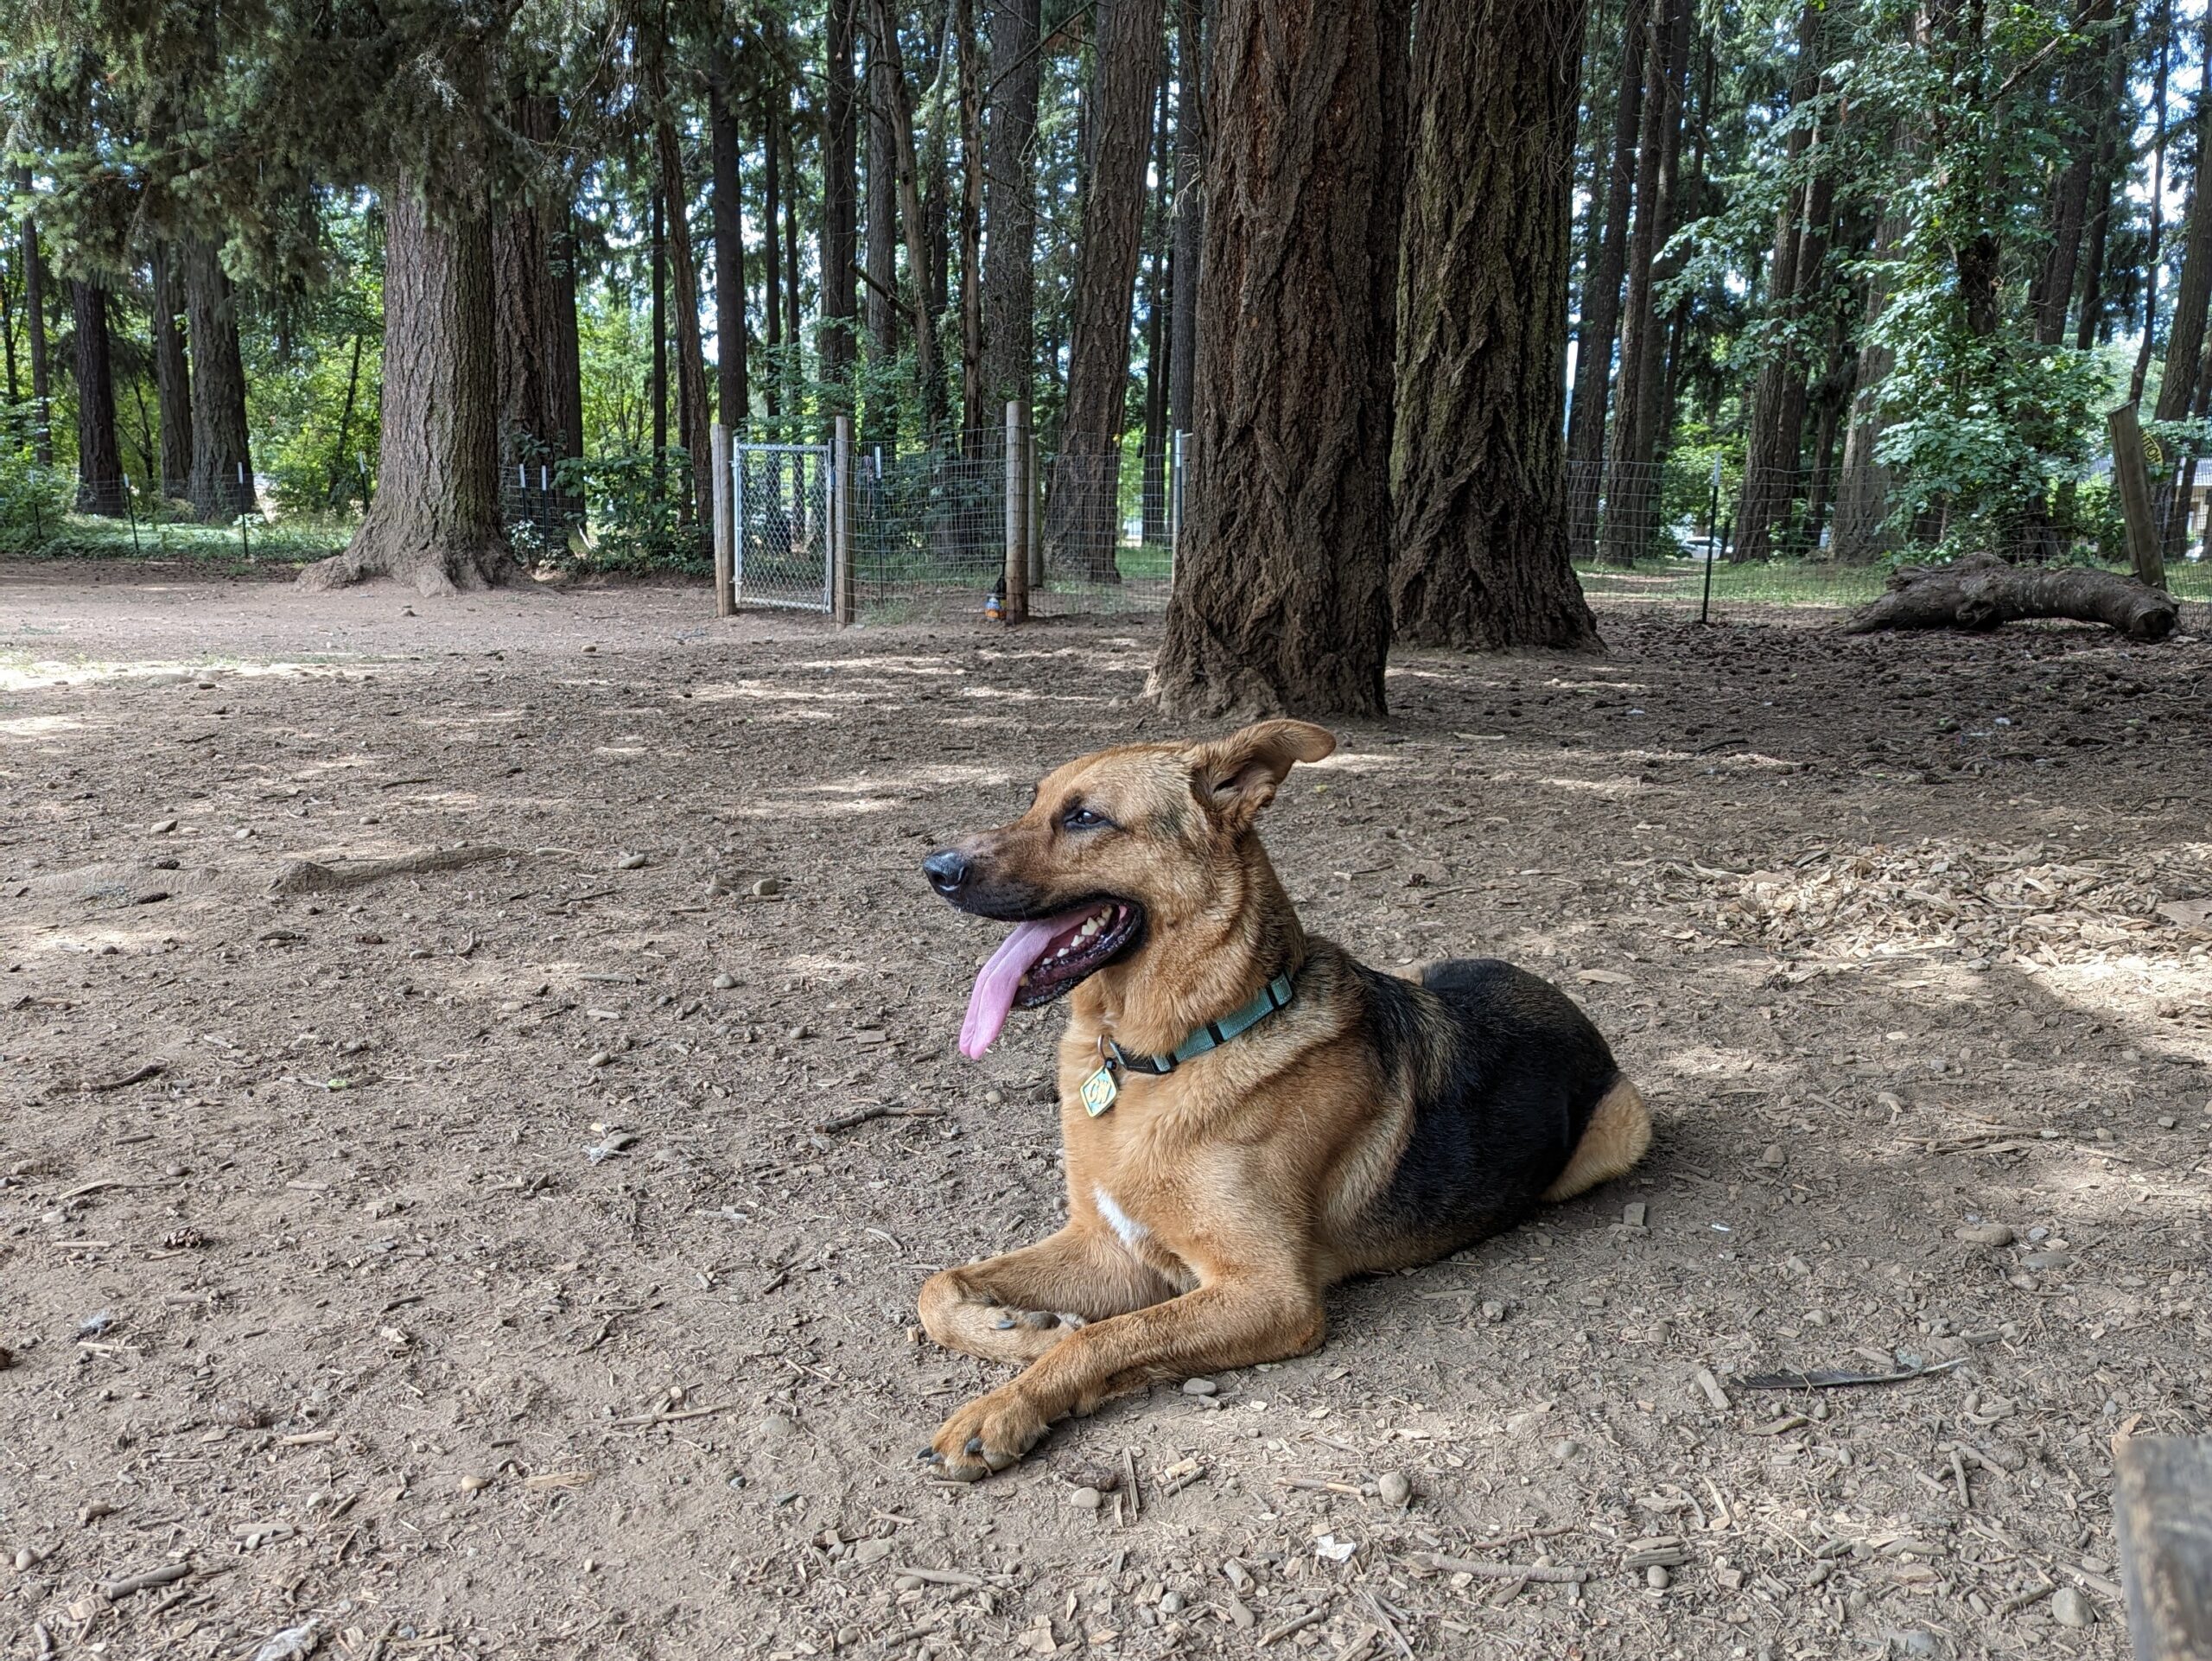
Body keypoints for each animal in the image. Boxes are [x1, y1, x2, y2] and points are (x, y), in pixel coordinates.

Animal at [911, 721, 1645, 1477]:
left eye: (1085, 817)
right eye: (1034, 802)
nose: (935, 868)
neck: (1177, 1049)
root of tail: (1557, 992)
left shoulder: (1271, 1293)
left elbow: (1103, 1337)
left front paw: (1005, 1406)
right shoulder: (1106, 1246)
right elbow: (937, 1286)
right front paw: (1018, 1327)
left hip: (1622, 1131)